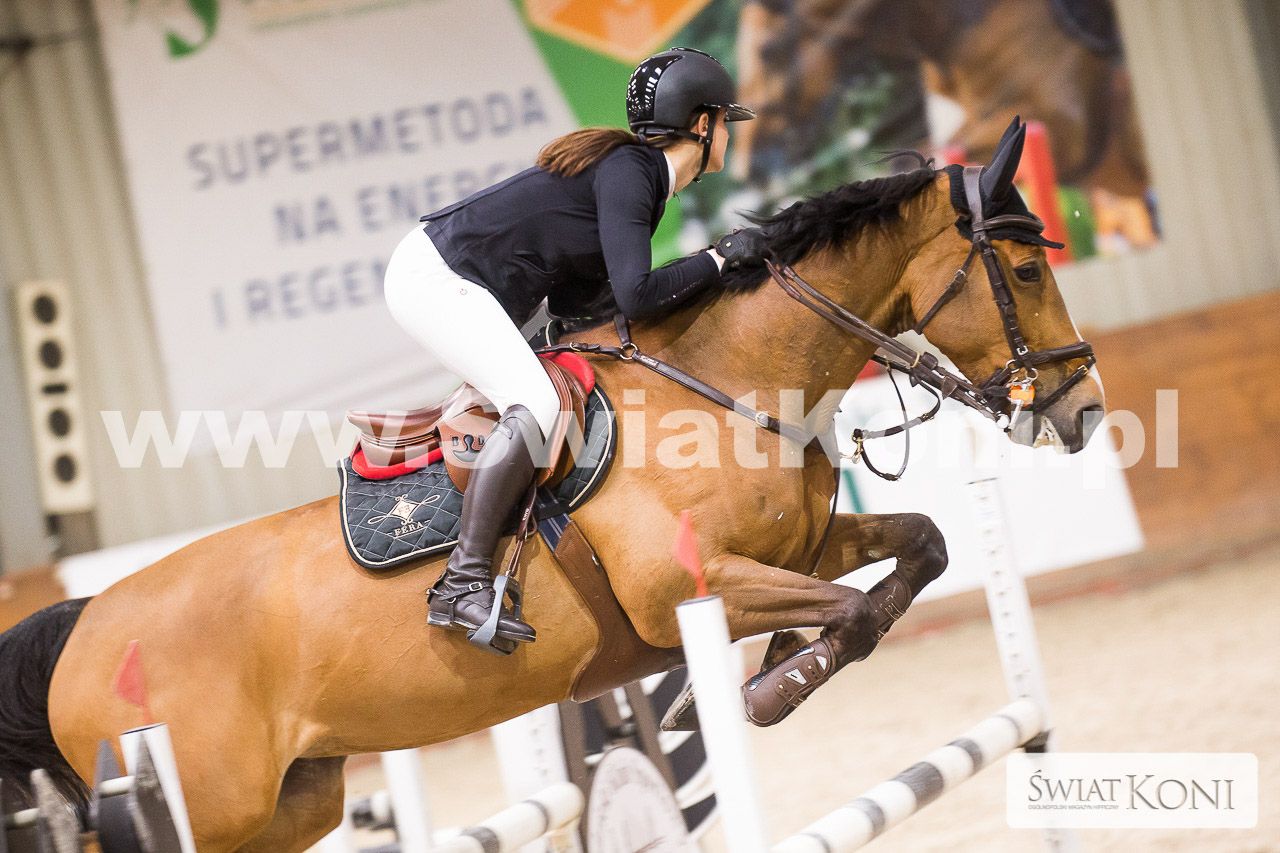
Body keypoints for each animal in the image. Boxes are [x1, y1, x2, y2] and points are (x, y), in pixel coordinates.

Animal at [0, 122, 1104, 851]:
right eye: (1020, 267)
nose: (1085, 410)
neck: (729, 384)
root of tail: (83, 622)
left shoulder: (795, 547)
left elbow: (918, 549)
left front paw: (779, 665)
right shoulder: (688, 591)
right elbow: (848, 612)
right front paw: (765, 683)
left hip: (289, 804)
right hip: (204, 796)